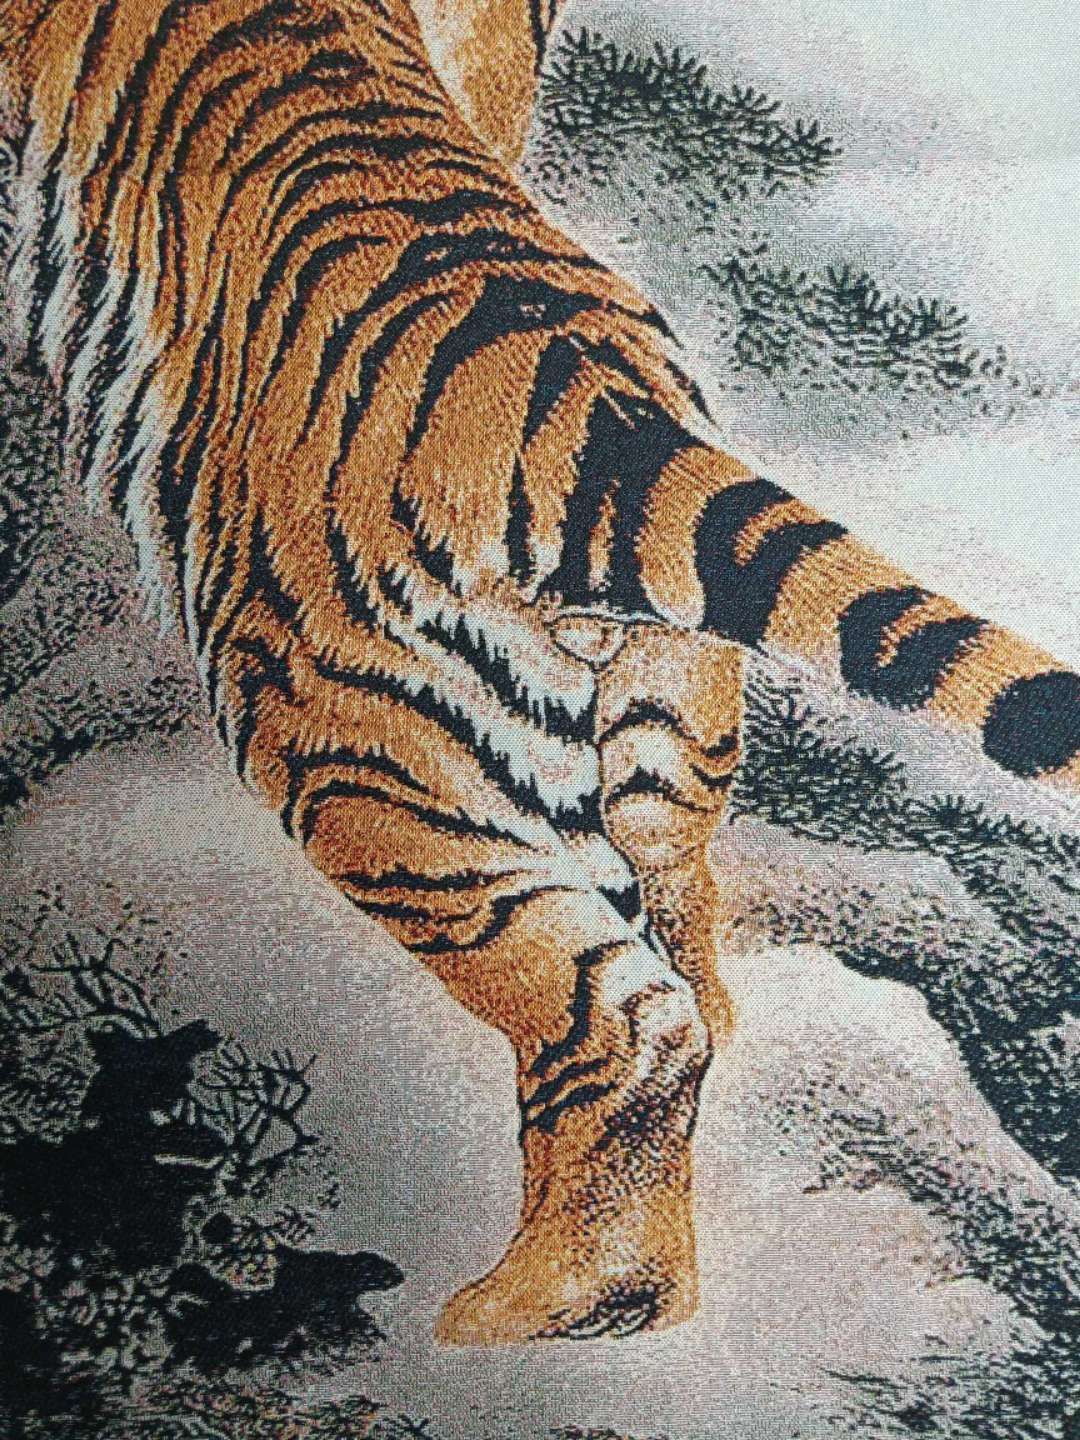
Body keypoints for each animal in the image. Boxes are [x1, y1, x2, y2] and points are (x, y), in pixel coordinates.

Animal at [1, 0, 1077, 1348]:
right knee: (669, 919)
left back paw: (519, 1323)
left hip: (366, 761)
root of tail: (608, 414)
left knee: (623, 1025)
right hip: (667, 723)